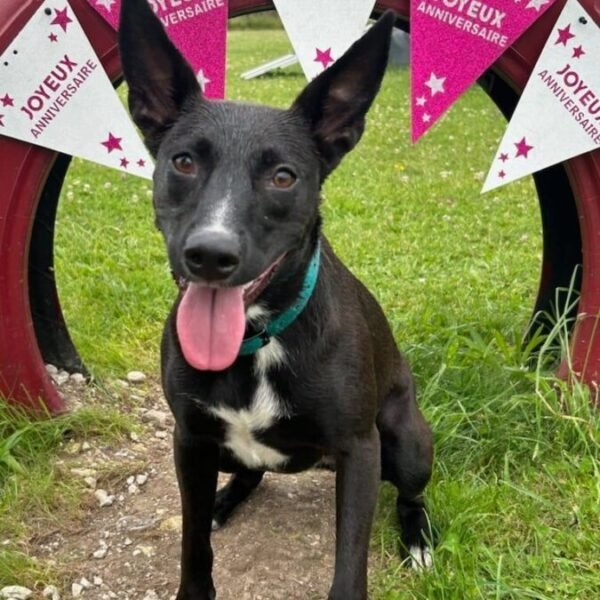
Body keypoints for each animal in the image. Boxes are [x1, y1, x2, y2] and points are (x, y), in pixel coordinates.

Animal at [119, 2, 434, 596]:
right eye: (183, 162)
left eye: (283, 177)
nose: (210, 255)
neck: (258, 338)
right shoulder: (188, 441)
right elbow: (193, 543)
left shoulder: (360, 451)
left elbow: (349, 566)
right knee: (249, 473)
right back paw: (224, 502)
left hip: (407, 442)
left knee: (410, 493)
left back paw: (420, 540)